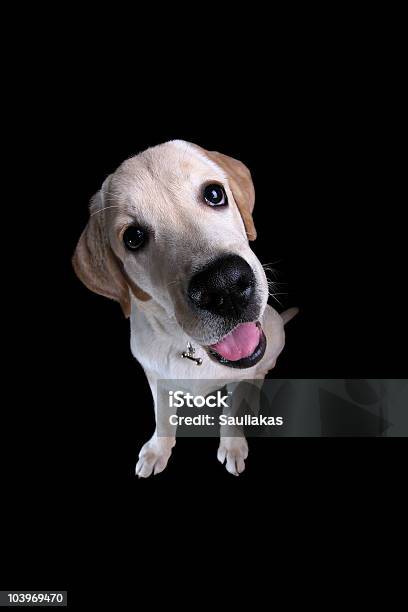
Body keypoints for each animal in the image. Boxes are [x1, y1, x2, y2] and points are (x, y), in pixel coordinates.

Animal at [73, 141, 296, 476]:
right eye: (133, 237)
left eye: (214, 194)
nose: (224, 285)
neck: (191, 348)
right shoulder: (155, 377)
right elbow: (163, 416)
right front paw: (158, 450)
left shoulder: (238, 378)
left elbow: (232, 411)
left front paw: (233, 445)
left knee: (260, 372)